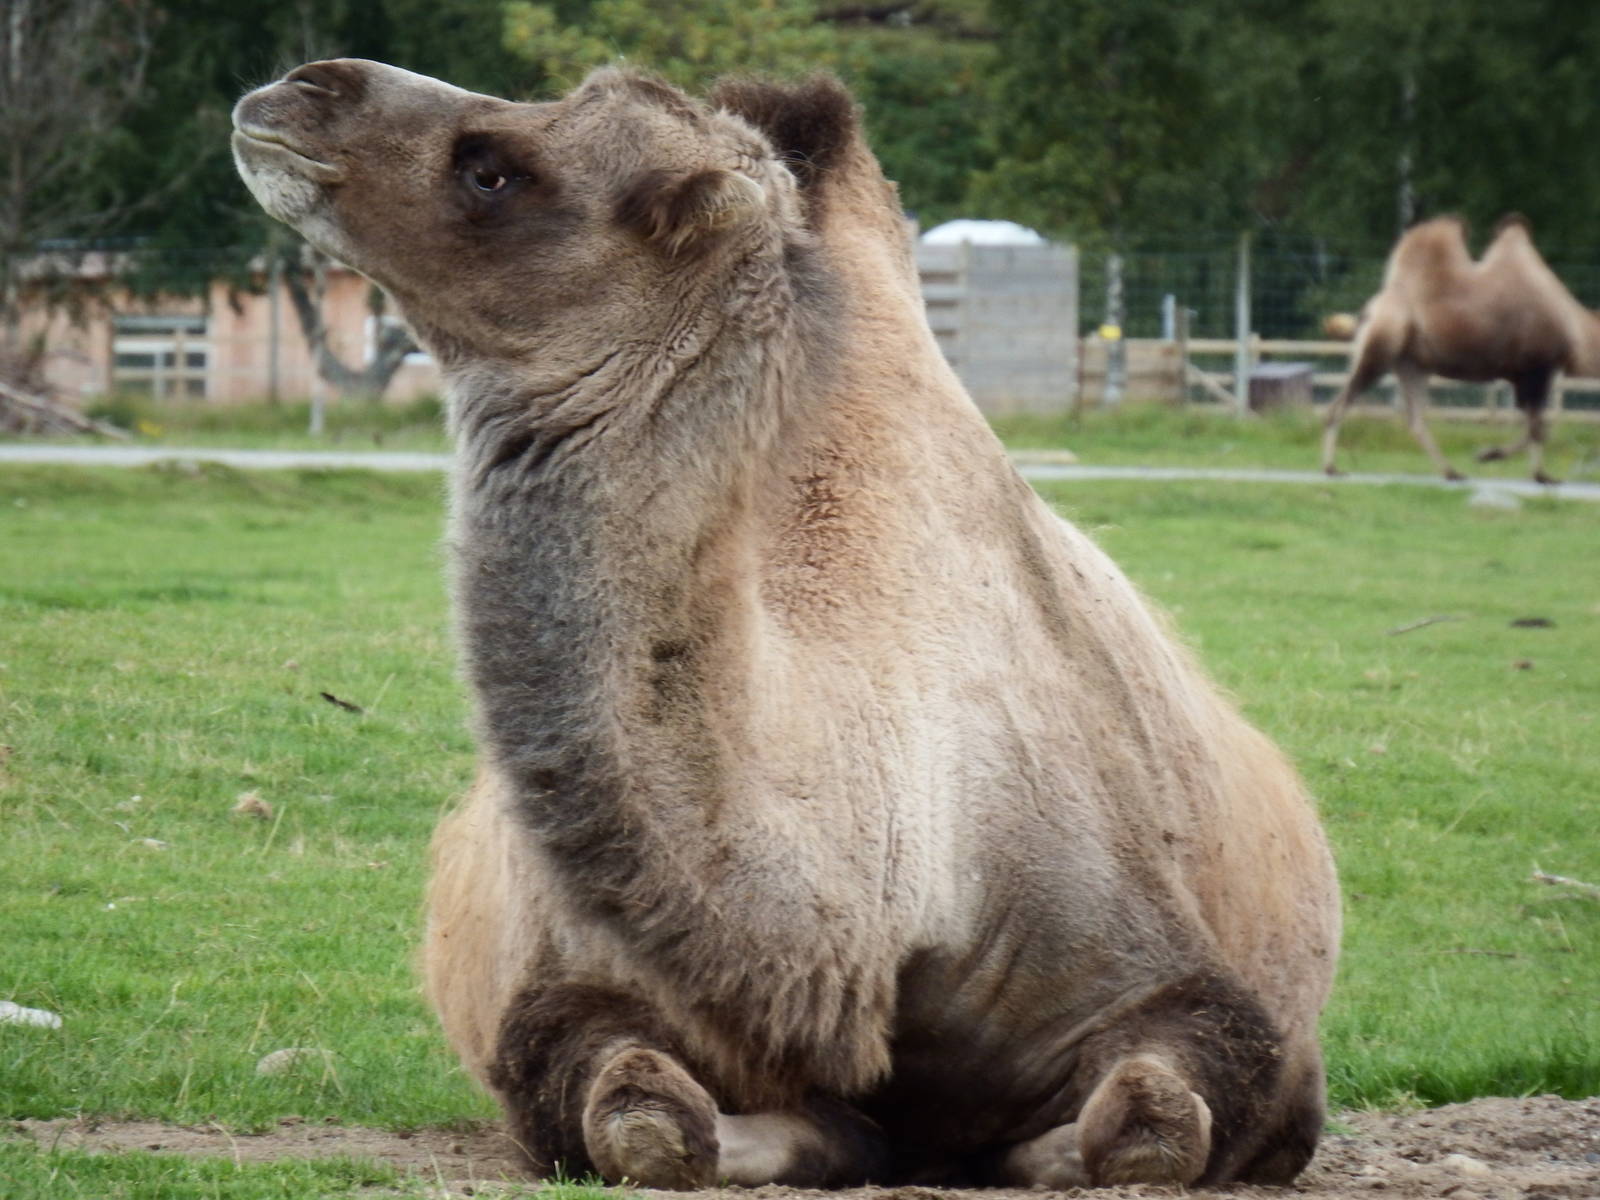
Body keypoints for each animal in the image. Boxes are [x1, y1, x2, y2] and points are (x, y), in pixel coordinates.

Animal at [233, 60, 1340, 1190]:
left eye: (494, 171)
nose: (305, 85)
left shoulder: (1175, 986)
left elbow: (1150, 1124)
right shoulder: (563, 992)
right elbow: (642, 1121)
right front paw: (835, 1132)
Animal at [1322, 215, 1598, 483]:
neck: (1577, 330)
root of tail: (1368, 311)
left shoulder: (1526, 375)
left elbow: (1535, 426)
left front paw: (1521, 467)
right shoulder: (1537, 368)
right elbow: (1538, 429)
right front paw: (1507, 462)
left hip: (1412, 364)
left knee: (1416, 419)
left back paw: (1451, 472)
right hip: (1381, 345)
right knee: (1341, 403)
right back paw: (1331, 467)